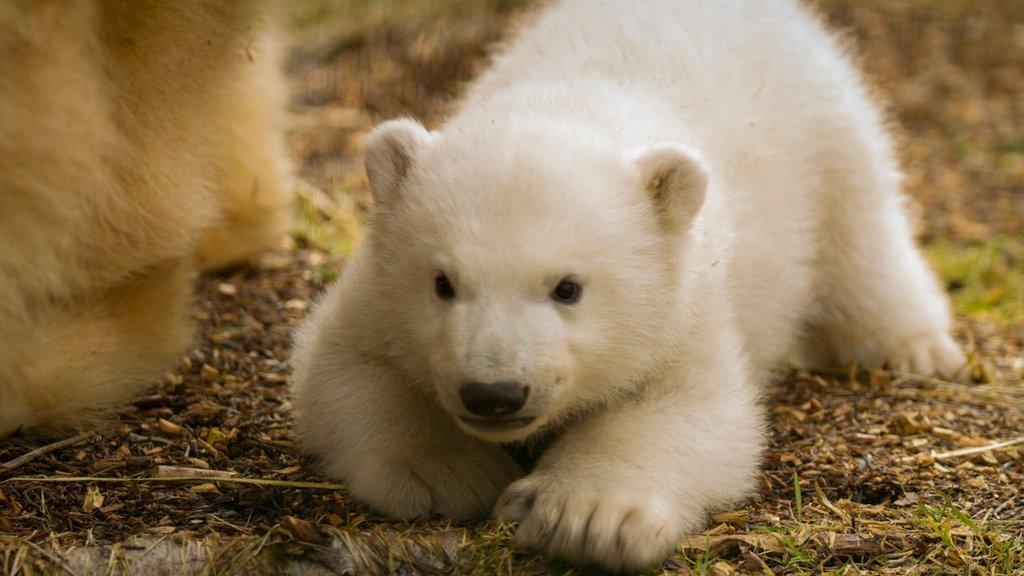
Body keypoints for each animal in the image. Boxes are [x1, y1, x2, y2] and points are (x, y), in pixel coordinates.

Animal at [292, 0, 962, 565]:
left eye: (567, 288)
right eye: (442, 283)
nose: (494, 393)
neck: (568, 105)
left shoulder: (686, 303)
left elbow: (692, 410)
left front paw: (586, 516)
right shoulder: (374, 293)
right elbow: (341, 366)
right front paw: (451, 473)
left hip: (828, 127)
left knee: (863, 235)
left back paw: (918, 347)